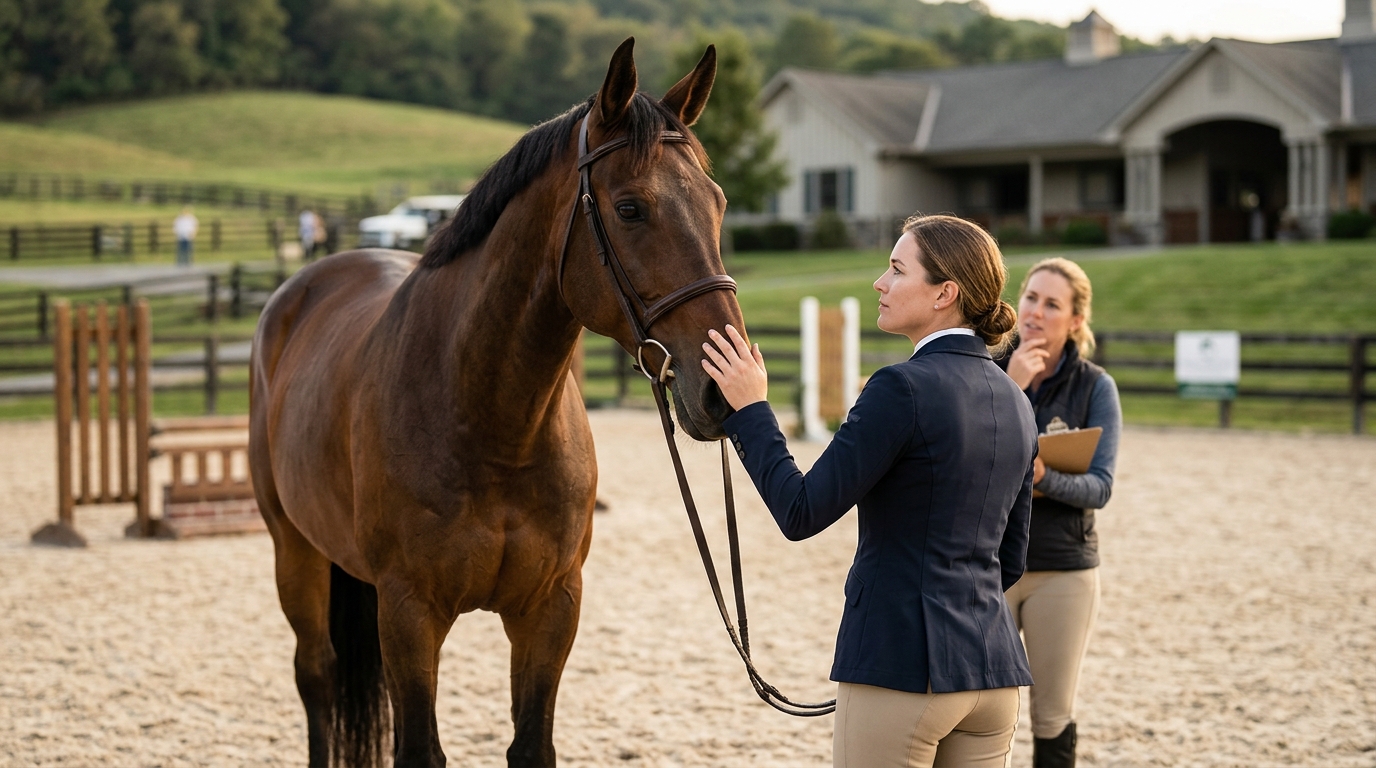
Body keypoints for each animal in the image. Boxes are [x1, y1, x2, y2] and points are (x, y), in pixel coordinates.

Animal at [248, 39, 744, 767]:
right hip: (295, 551)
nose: (723, 387)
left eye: (718, 203)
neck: (491, 424)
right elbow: (418, 748)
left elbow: (532, 743)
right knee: (316, 675)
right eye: (630, 208)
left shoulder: (550, 609)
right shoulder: (409, 612)